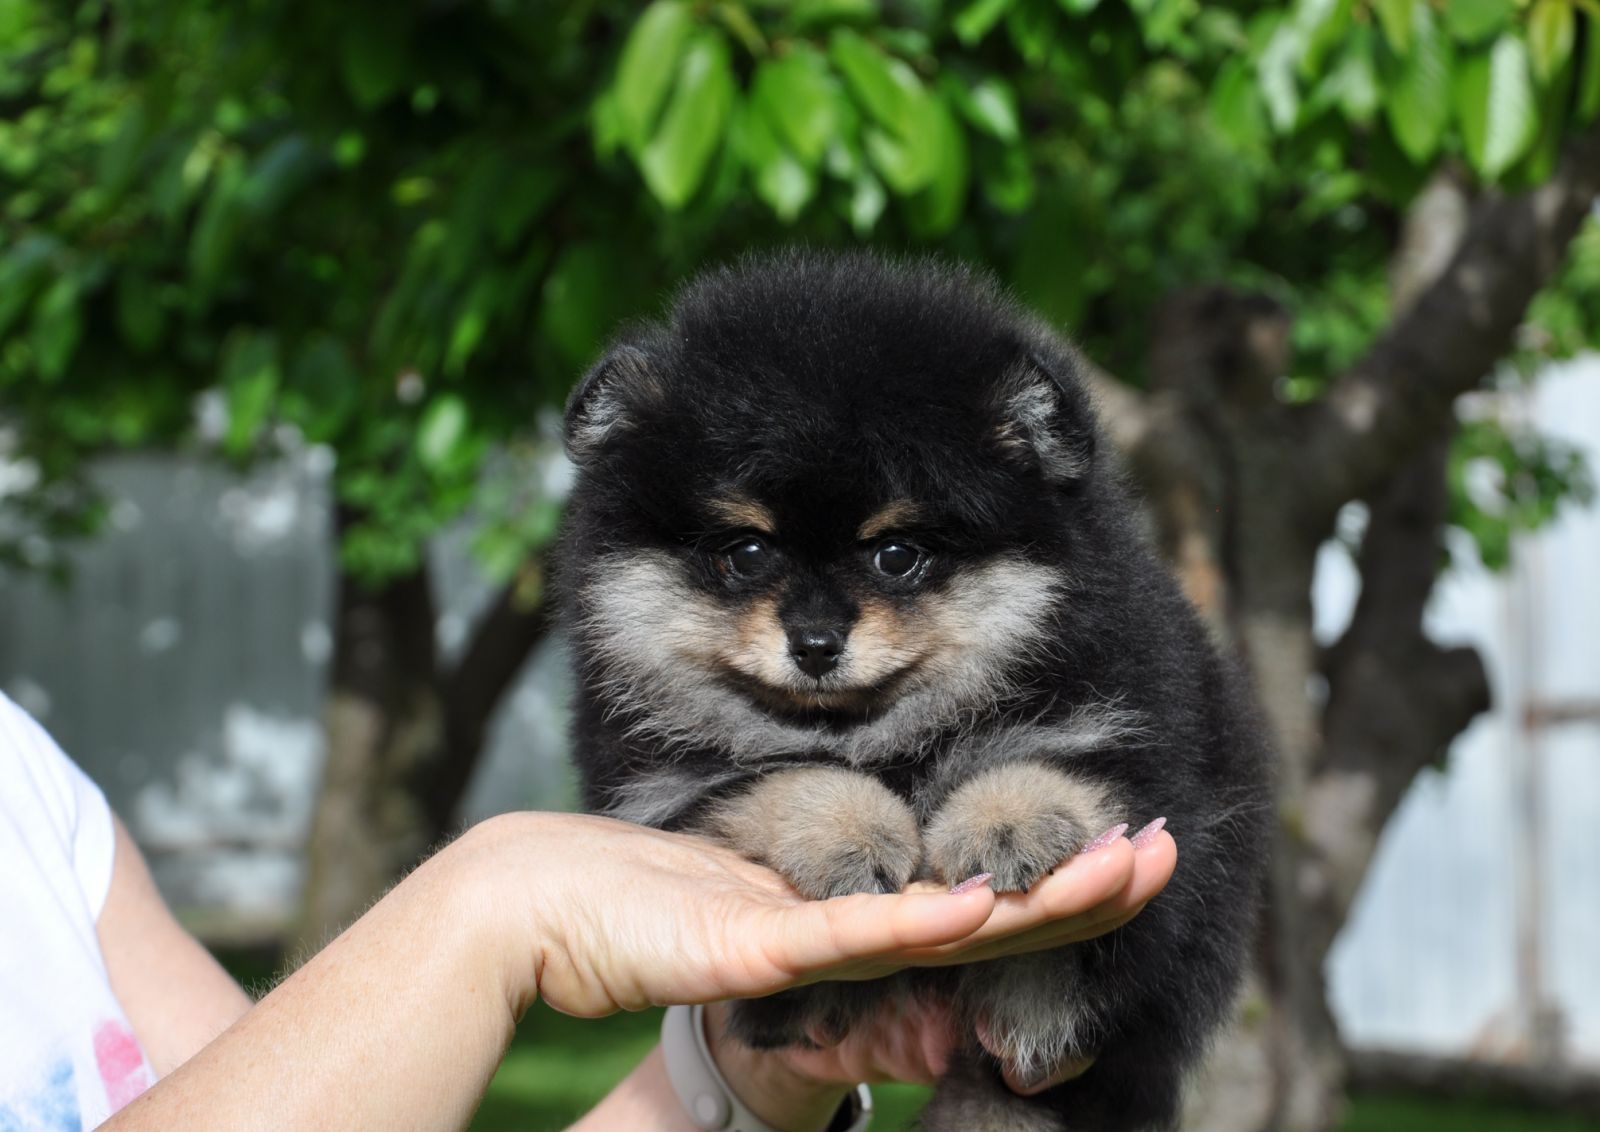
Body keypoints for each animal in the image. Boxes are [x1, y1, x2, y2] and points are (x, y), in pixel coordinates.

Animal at [556, 252, 1267, 1125]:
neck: (883, 732)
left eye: (896, 554)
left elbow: (1057, 766)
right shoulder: (658, 784)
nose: (815, 645)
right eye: (747, 552)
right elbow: (773, 776)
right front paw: (849, 829)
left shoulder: (1142, 727)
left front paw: (1009, 824)